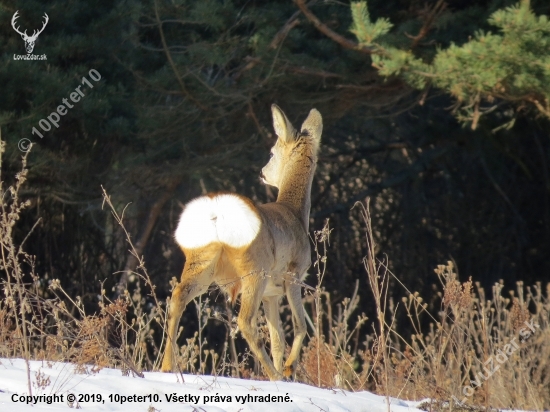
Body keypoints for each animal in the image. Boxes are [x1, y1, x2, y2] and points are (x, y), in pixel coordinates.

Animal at [160, 104, 324, 380]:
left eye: (271, 153)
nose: (262, 173)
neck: (295, 213)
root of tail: (217, 214)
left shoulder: (272, 294)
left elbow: (278, 339)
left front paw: (284, 368)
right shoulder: (293, 273)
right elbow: (300, 325)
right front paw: (288, 368)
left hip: (201, 261)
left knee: (177, 296)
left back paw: (166, 366)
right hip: (254, 271)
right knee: (245, 321)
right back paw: (274, 375)